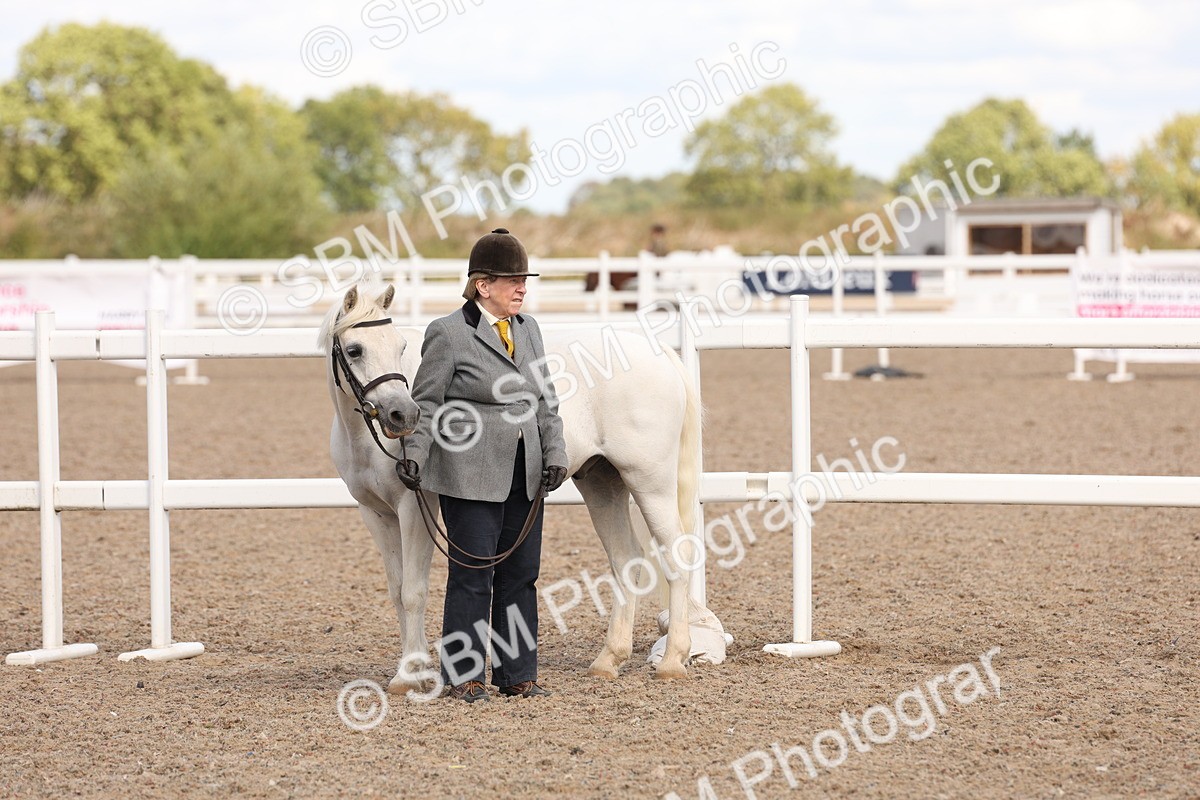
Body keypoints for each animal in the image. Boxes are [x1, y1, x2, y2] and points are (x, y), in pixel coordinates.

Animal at [319, 281, 704, 691]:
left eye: (400, 347)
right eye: (356, 350)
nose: (403, 415)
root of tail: (658, 353)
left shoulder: (415, 507)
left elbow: (413, 591)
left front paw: (410, 674)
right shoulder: (376, 514)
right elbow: (396, 590)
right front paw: (412, 671)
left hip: (649, 481)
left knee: (677, 554)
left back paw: (673, 659)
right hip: (604, 483)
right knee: (625, 559)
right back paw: (608, 660)